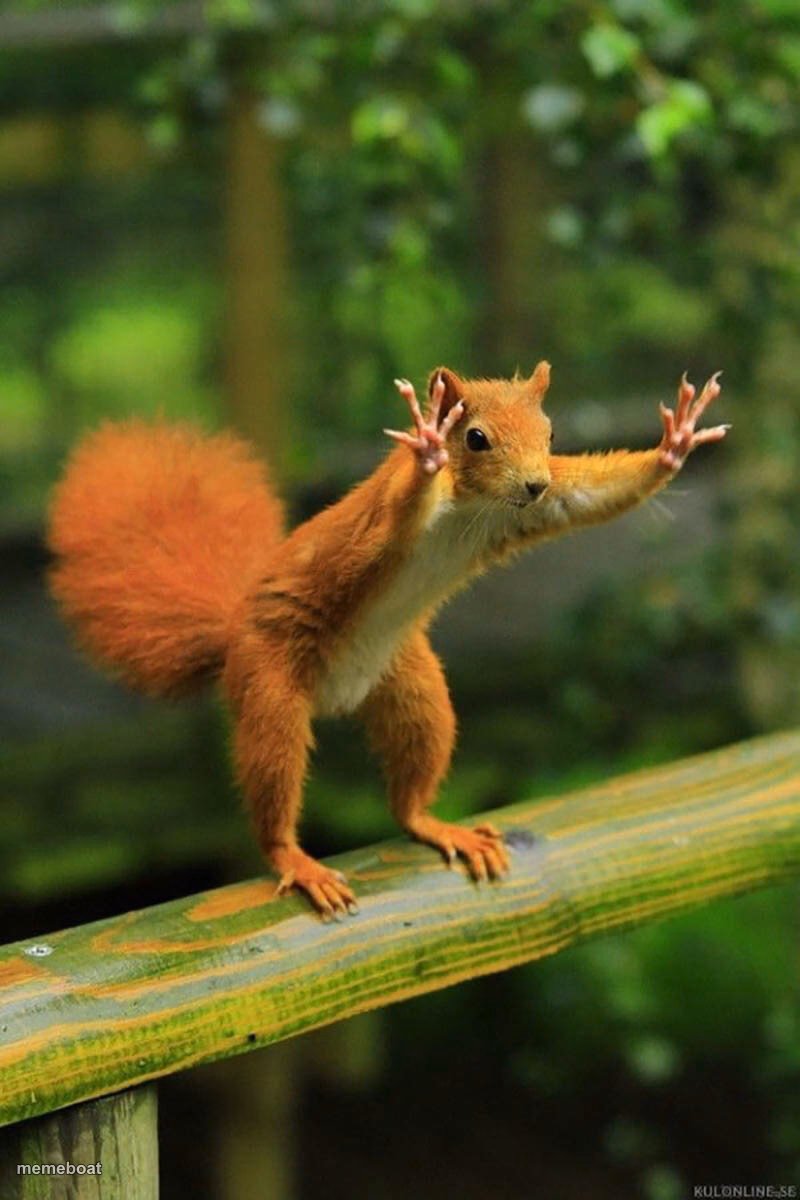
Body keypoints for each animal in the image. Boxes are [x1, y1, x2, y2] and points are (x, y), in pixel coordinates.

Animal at [47, 363, 727, 917]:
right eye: (474, 437)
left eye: (552, 433)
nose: (534, 482)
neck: (471, 506)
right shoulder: (380, 523)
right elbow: (391, 520)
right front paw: (427, 446)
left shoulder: (534, 510)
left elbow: (588, 496)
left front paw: (675, 444)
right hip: (270, 687)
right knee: (272, 782)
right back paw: (295, 859)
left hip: (412, 687)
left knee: (409, 789)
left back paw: (435, 824)